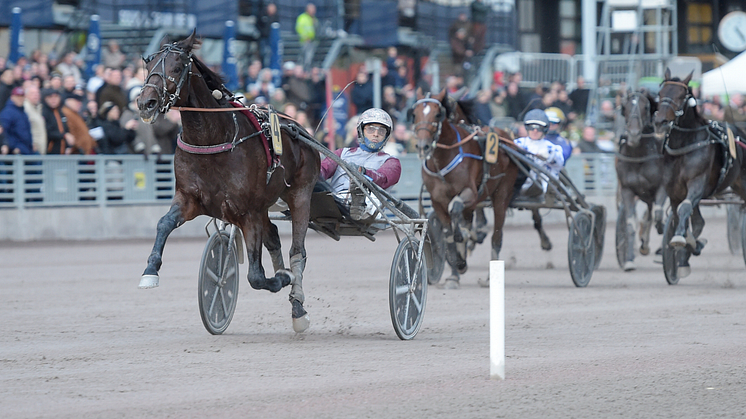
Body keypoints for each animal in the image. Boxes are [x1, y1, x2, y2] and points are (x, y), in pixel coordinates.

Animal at [137, 32, 320, 334]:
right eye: (149, 63)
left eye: (177, 67)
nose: (146, 102)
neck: (212, 138)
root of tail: (300, 129)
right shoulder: (189, 198)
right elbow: (163, 223)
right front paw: (150, 271)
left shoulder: (247, 211)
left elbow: (256, 276)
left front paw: (282, 279)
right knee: (273, 236)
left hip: (301, 194)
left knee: (298, 251)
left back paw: (298, 307)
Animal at [406, 88, 516, 288]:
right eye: (414, 114)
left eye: (437, 114)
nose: (422, 146)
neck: (443, 159)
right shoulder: (437, 201)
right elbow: (448, 236)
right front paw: (455, 272)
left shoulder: (470, 194)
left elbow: (455, 208)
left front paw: (463, 239)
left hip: (501, 196)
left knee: (497, 237)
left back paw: (490, 277)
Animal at [612, 89, 664, 272]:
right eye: (625, 107)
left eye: (646, 107)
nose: (634, 134)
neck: (638, 157)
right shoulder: (627, 190)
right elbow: (630, 225)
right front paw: (629, 260)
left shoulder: (661, 188)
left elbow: (657, 216)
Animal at [652, 69, 744, 284]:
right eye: (660, 94)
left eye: (680, 96)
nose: (660, 122)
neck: (684, 146)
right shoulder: (675, 190)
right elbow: (682, 216)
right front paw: (686, 248)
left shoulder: (696, 183)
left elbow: (685, 209)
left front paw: (682, 240)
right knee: (698, 220)